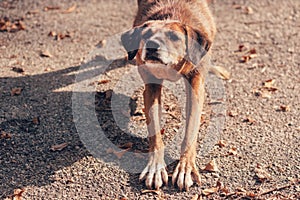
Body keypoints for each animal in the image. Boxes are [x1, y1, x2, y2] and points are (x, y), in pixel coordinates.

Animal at [121, 0, 216, 191]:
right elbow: (155, 131)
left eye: (174, 37)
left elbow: (191, 129)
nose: (151, 45)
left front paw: (185, 167)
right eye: (146, 34)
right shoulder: (151, 86)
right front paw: (155, 168)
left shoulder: (196, 85)